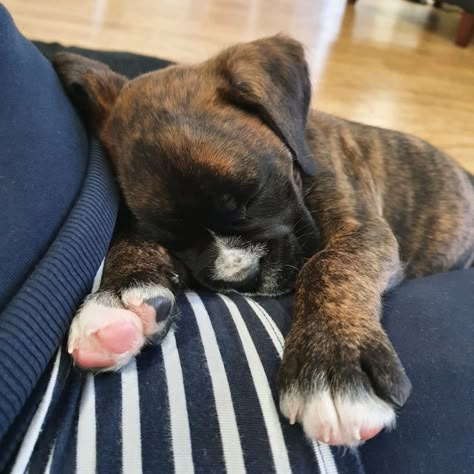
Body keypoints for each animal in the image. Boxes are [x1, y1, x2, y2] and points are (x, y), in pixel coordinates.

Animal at [51, 35, 474, 446]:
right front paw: (118, 296)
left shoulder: (362, 229)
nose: (241, 279)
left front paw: (332, 360)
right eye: (172, 239)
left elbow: (331, 264)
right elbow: (128, 238)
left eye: (252, 196)